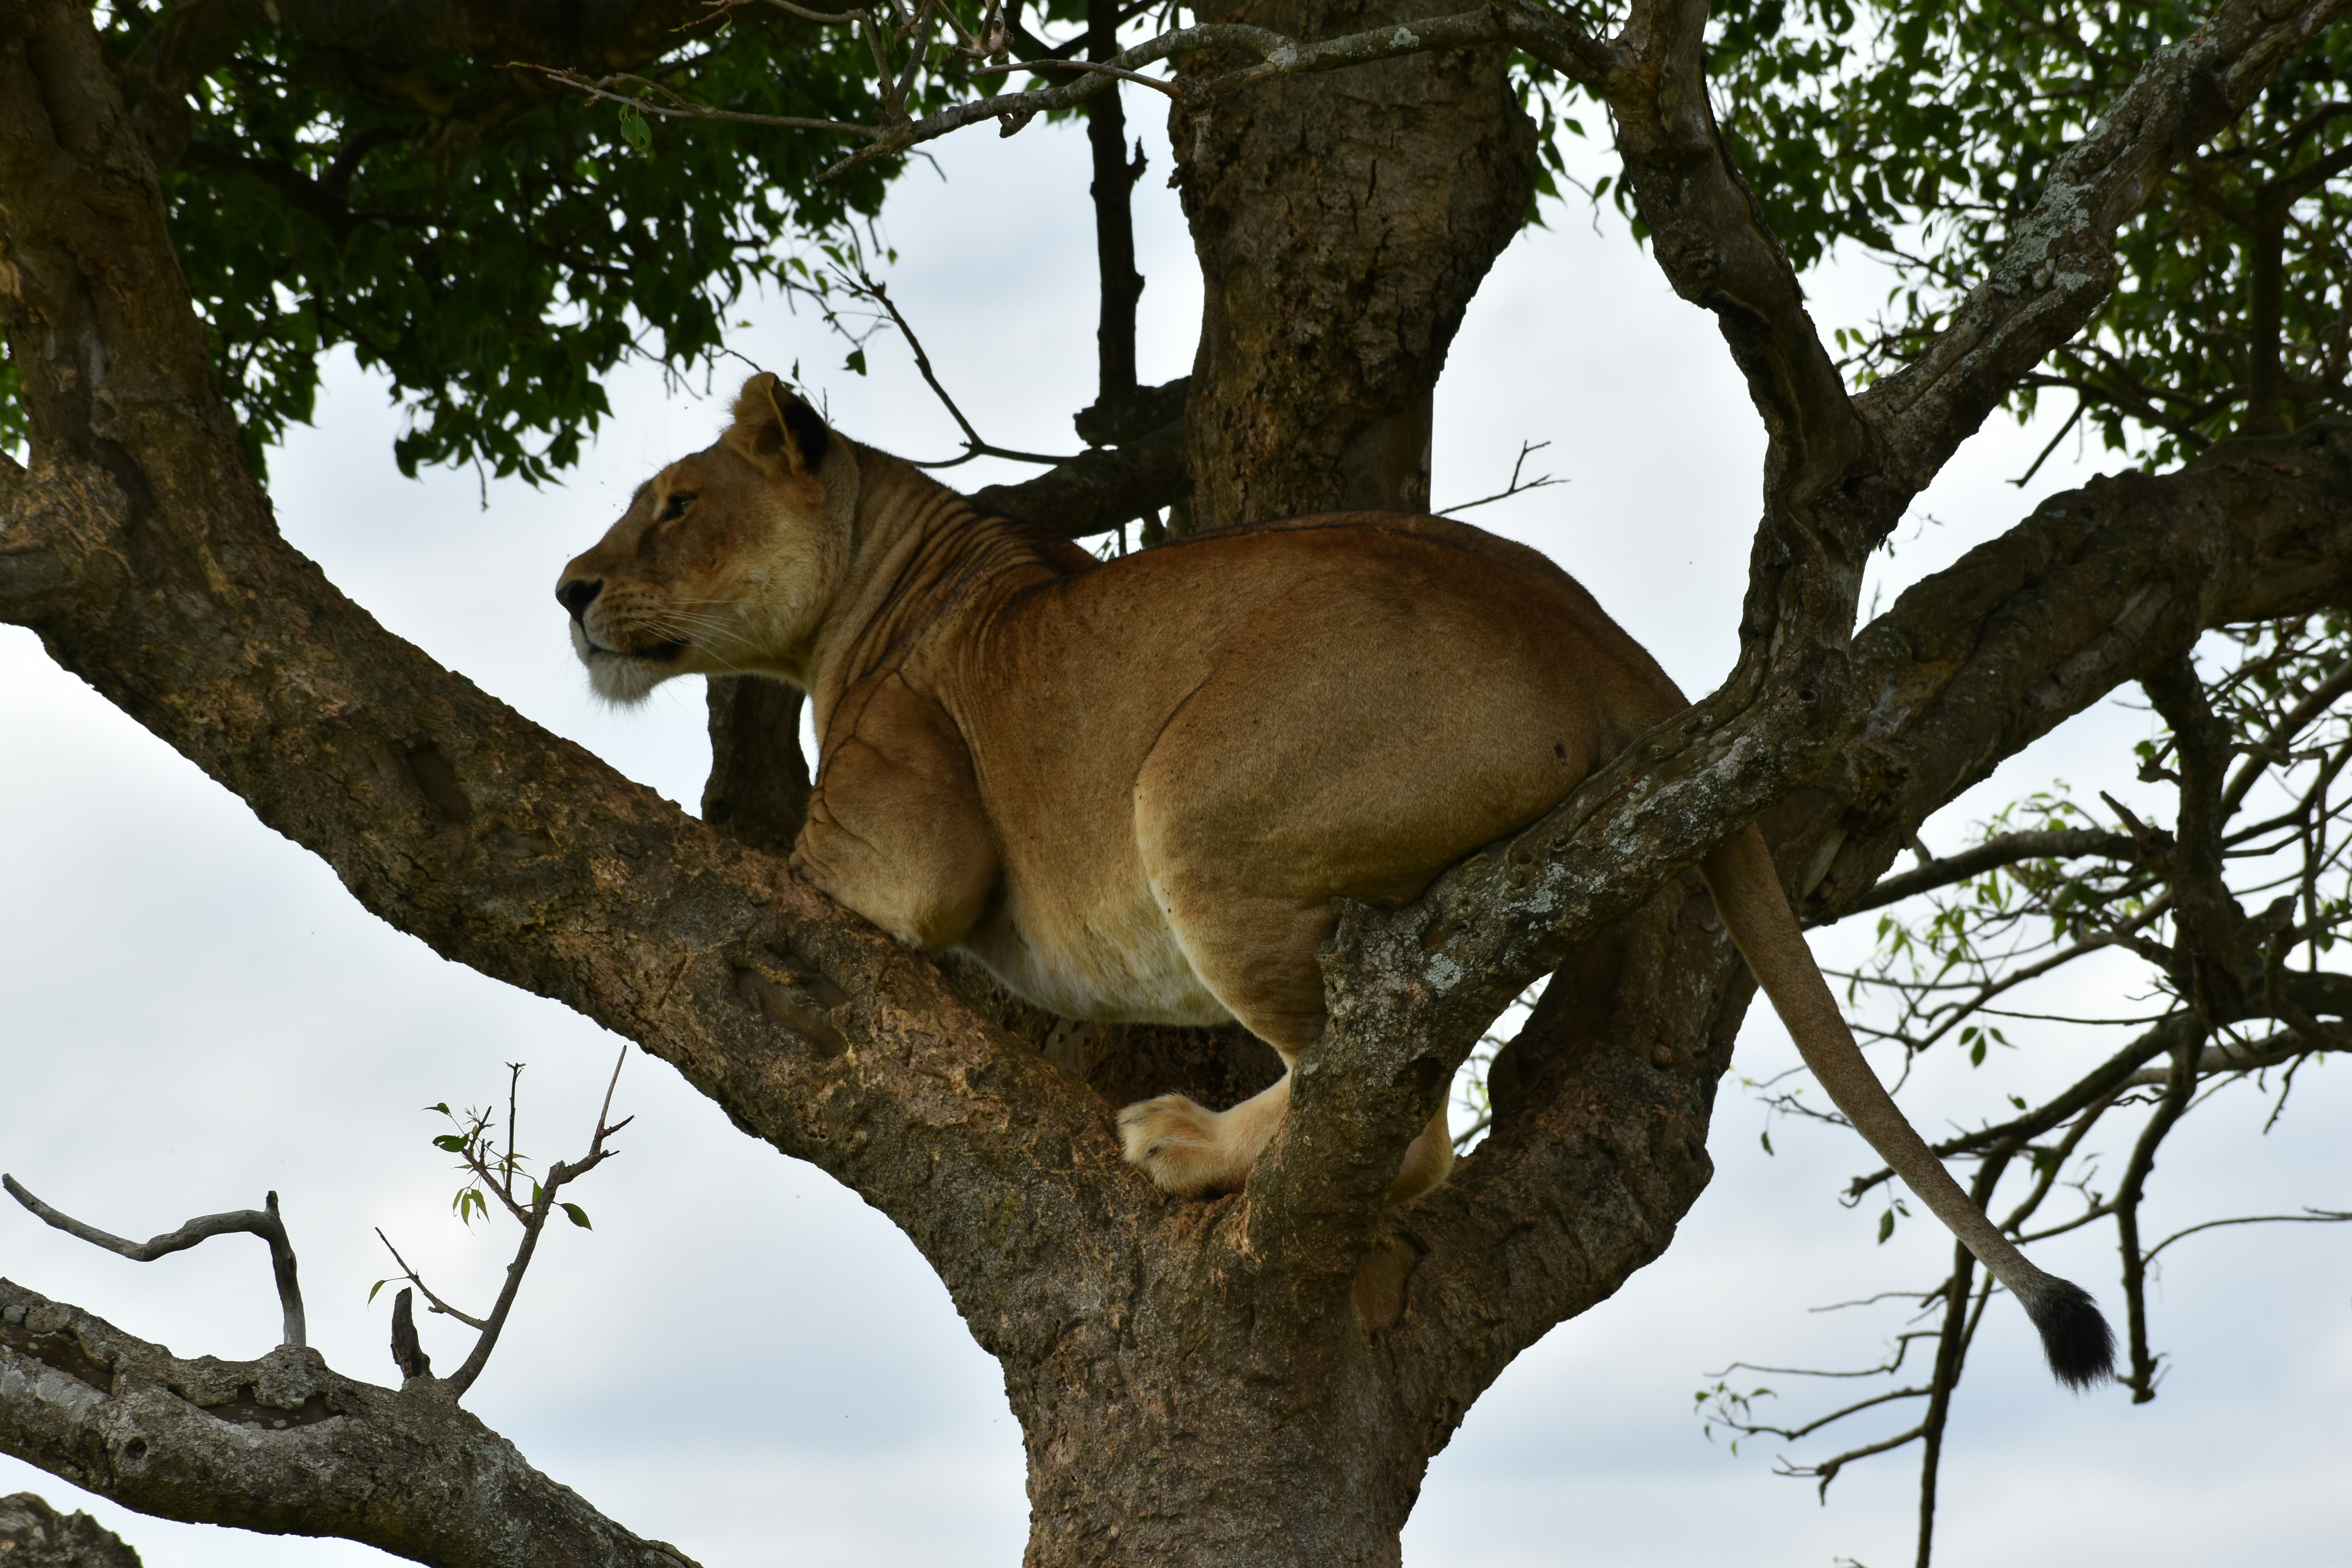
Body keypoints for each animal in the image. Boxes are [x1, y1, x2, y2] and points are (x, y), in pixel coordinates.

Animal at [557, 373, 2114, 1387]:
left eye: (675, 506)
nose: (567, 590)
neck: (880, 581)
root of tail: (1594, 628)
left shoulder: (906, 837)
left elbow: (792, 859)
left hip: (1191, 796)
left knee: (1399, 1126)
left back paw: (1183, 1144)